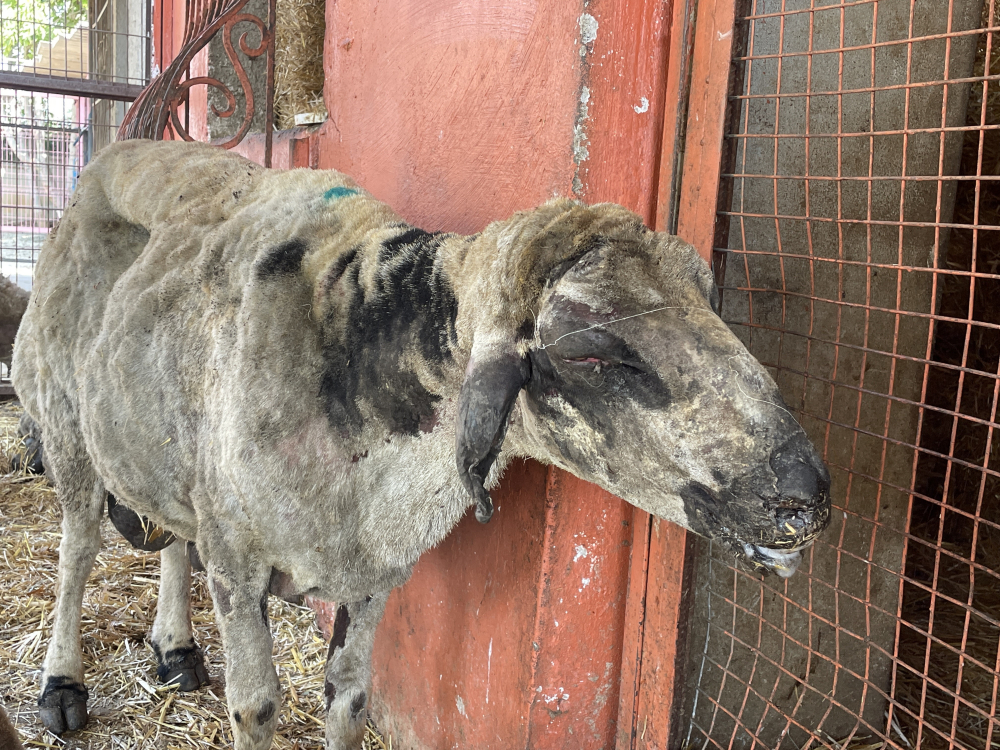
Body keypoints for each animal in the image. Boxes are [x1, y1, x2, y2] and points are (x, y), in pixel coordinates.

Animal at [11, 138, 832, 748]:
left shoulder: (372, 571)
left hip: (163, 447)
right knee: (77, 547)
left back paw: (177, 648)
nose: (807, 498)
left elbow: (348, 700)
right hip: (65, 423)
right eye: (590, 350)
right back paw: (62, 684)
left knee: (172, 532)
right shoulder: (239, 561)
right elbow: (258, 707)